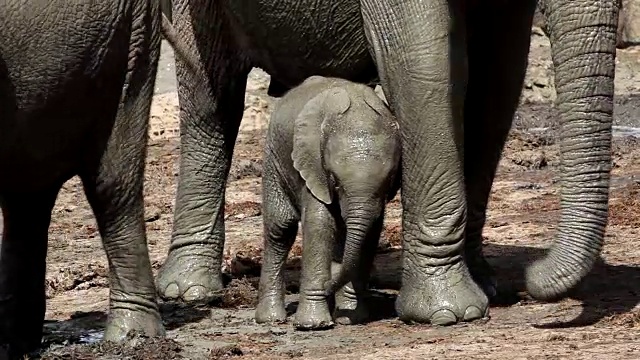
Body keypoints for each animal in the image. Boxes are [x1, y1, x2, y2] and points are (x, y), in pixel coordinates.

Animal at [255, 76, 400, 330]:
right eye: (334, 180)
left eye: (390, 179)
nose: (326, 286)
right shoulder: (312, 165)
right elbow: (320, 223)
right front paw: (313, 325)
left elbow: (371, 230)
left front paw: (351, 318)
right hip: (273, 157)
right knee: (280, 229)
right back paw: (270, 319)